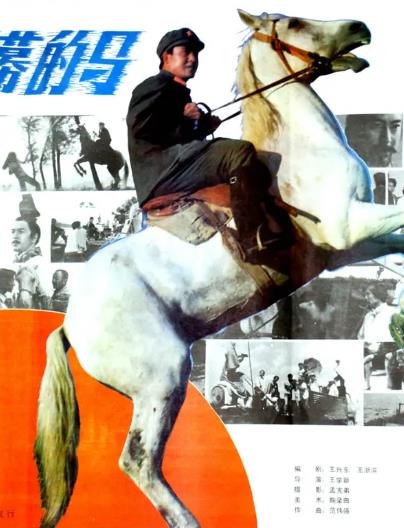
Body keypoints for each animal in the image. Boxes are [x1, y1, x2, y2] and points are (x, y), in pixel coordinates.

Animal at [34, 10, 404, 528]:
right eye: (294, 22)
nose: (360, 27)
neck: (301, 152)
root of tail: (69, 323)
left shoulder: (354, 245)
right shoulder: (350, 227)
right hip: (163, 379)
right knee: (139, 461)